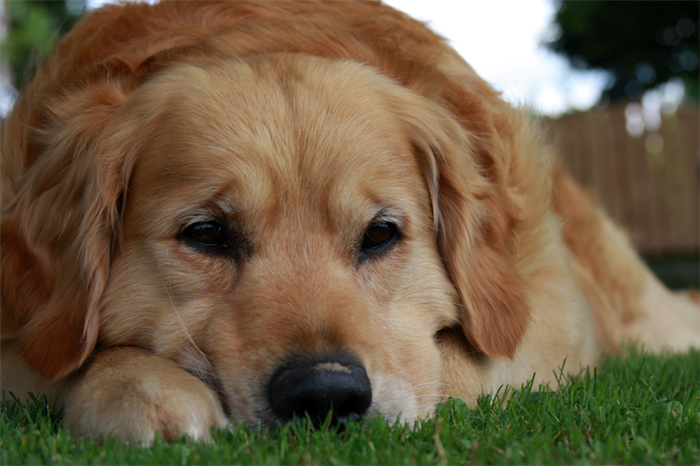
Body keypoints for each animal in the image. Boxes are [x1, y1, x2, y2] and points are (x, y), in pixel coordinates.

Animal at [1, 0, 700, 444]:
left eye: (381, 235)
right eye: (205, 234)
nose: (324, 395)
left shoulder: (549, 315)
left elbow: (450, 367)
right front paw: (136, 387)